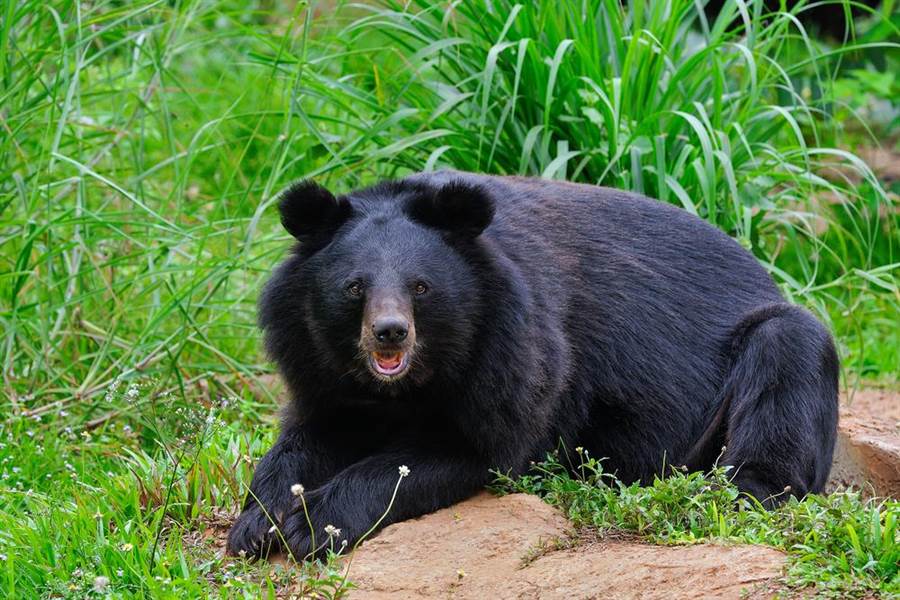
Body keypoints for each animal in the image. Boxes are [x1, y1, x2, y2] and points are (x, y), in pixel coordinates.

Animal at [223, 168, 836, 556]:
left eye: (420, 287)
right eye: (355, 288)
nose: (389, 333)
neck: (409, 383)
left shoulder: (516, 355)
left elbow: (455, 451)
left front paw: (308, 526)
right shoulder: (315, 356)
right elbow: (310, 435)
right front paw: (256, 523)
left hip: (761, 359)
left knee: (788, 351)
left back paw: (735, 489)